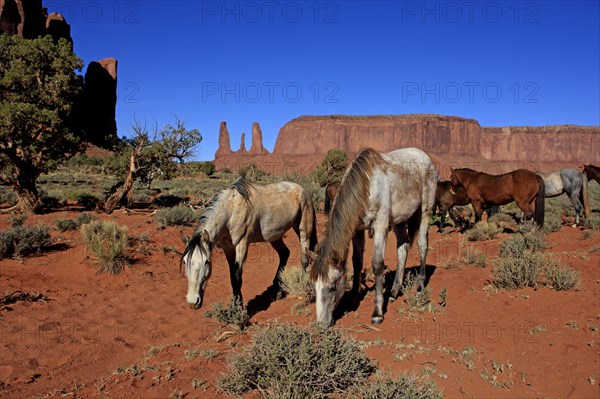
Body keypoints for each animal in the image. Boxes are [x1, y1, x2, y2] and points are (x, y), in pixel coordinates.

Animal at [179, 179, 316, 312]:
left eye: (207, 261)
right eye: (185, 261)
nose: (192, 301)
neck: (231, 211)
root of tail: (302, 190)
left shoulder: (242, 245)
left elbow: (237, 277)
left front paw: (239, 308)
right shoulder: (228, 248)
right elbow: (232, 277)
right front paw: (234, 305)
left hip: (303, 229)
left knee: (304, 258)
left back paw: (302, 283)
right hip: (275, 236)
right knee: (285, 253)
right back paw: (276, 289)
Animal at [310, 148, 436, 326]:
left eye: (332, 286)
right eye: (314, 287)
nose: (321, 324)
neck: (367, 187)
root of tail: (425, 156)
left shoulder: (381, 226)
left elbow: (377, 264)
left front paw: (377, 312)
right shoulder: (357, 230)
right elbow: (357, 261)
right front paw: (354, 297)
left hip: (425, 210)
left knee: (422, 245)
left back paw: (419, 287)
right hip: (399, 220)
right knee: (402, 249)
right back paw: (394, 292)